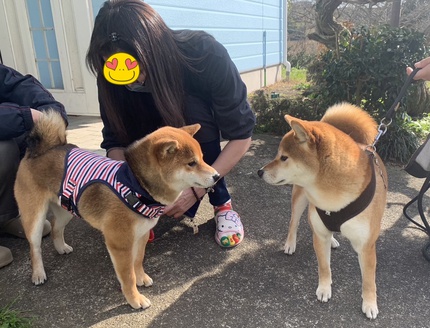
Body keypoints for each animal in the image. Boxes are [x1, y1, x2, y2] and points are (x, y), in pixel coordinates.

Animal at [15, 110, 220, 310]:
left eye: (202, 158)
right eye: (191, 163)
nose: (217, 176)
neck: (137, 185)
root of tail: (39, 151)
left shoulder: (142, 235)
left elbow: (138, 261)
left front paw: (141, 278)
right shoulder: (119, 244)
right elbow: (127, 276)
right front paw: (135, 299)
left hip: (67, 206)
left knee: (56, 227)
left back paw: (61, 247)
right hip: (34, 216)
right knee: (35, 246)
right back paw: (38, 273)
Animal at [256, 104, 388, 320]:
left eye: (283, 158)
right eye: (278, 155)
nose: (260, 172)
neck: (333, 197)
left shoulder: (366, 245)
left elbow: (369, 280)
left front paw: (370, 304)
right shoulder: (319, 232)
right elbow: (324, 267)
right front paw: (325, 289)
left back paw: (333, 240)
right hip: (300, 199)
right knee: (293, 222)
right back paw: (290, 244)